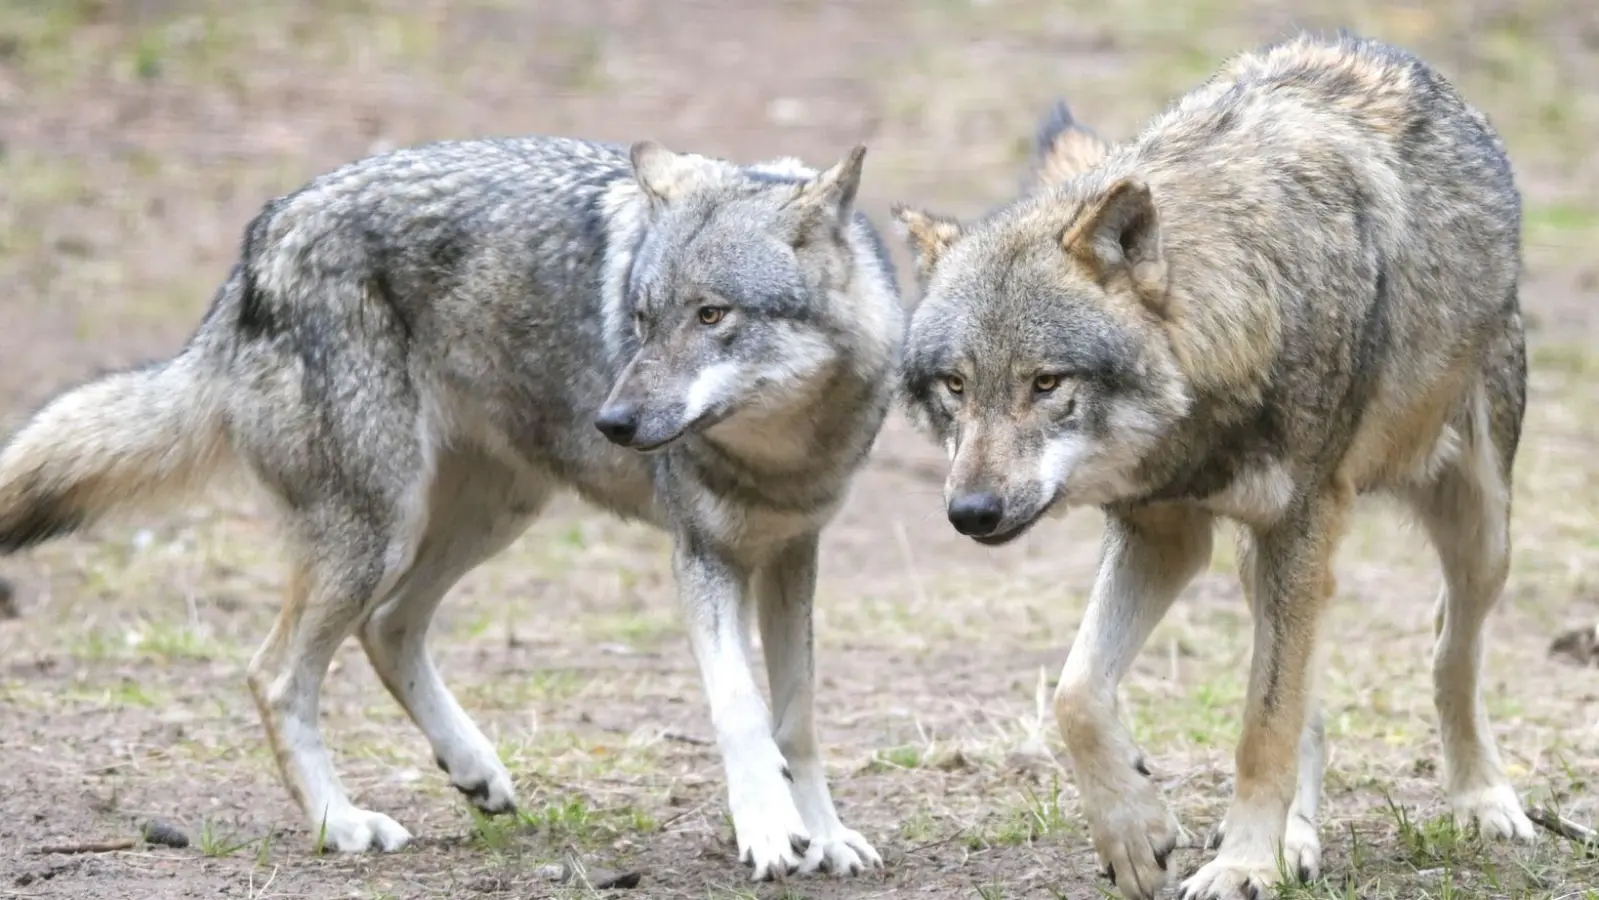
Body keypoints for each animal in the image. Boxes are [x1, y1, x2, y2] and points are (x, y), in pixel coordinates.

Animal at [0, 133, 901, 882]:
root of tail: (262, 239)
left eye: (712, 315)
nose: (611, 422)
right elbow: (742, 710)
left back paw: (473, 770)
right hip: (380, 534)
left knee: (387, 628)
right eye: (641, 320)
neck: (782, 451)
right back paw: (340, 824)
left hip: (488, 517)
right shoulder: (703, 558)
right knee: (275, 672)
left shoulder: (792, 554)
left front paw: (823, 835)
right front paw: (768, 831)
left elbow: (797, 720)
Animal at [895, 31, 1528, 900]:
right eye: (955, 386)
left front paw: (1241, 863)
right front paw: (1138, 832)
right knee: (1312, 697)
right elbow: (1076, 693)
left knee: (1447, 651)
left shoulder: (1299, 522)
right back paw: (1297, 840)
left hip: (1476, 531)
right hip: (1268, 560)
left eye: (1046, 382)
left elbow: (1264, 725)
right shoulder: (1163, 533)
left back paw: (1481, 798)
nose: (971, 514)